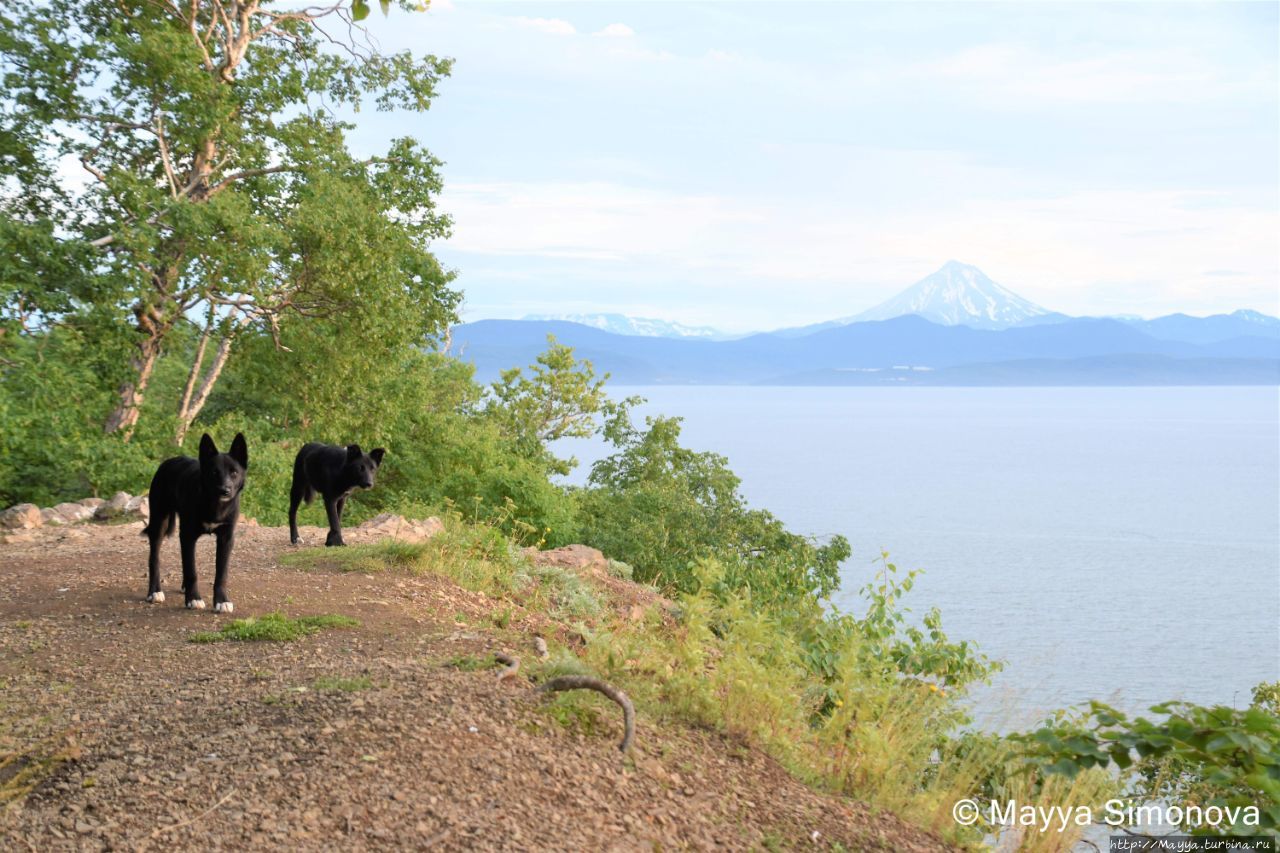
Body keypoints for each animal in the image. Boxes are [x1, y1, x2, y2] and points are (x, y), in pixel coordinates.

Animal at [142, 432, 247, 612]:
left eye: (234, 472)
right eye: (214, 472)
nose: (225, 490)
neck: (214, 505)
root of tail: (169, 461)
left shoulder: (226, 538)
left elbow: (221, 573)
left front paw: (221, 601)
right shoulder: (188, 536)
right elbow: (192, 570)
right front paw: (193, 599)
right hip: (159, 522)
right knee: (154, 559)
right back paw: (154, 591)